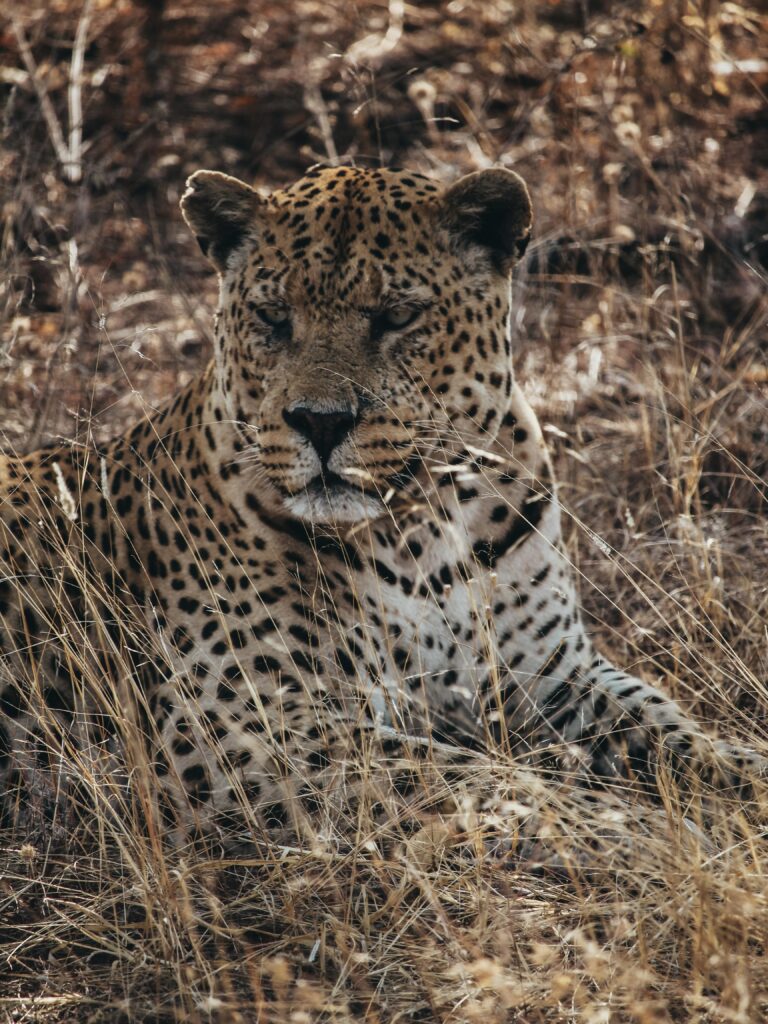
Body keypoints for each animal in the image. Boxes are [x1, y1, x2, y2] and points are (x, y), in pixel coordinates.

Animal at [0, 164, 761, 844]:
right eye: (273, 319)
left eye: (397, 316)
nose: (320, 421)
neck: (423, 526)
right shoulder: (237, 723)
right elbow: (472, 776)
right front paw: (651, 836)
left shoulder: (554, 676)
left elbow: (677, 729)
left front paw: (737, 781)